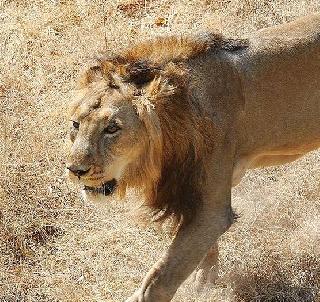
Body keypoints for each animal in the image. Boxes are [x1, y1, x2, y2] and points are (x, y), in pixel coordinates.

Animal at [67, 13, 320, 302]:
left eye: (112, 128)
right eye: (75, 124)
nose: (75, 170)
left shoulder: (211, 210)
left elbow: (158, 280)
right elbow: (200, 251)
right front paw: (205, 279)